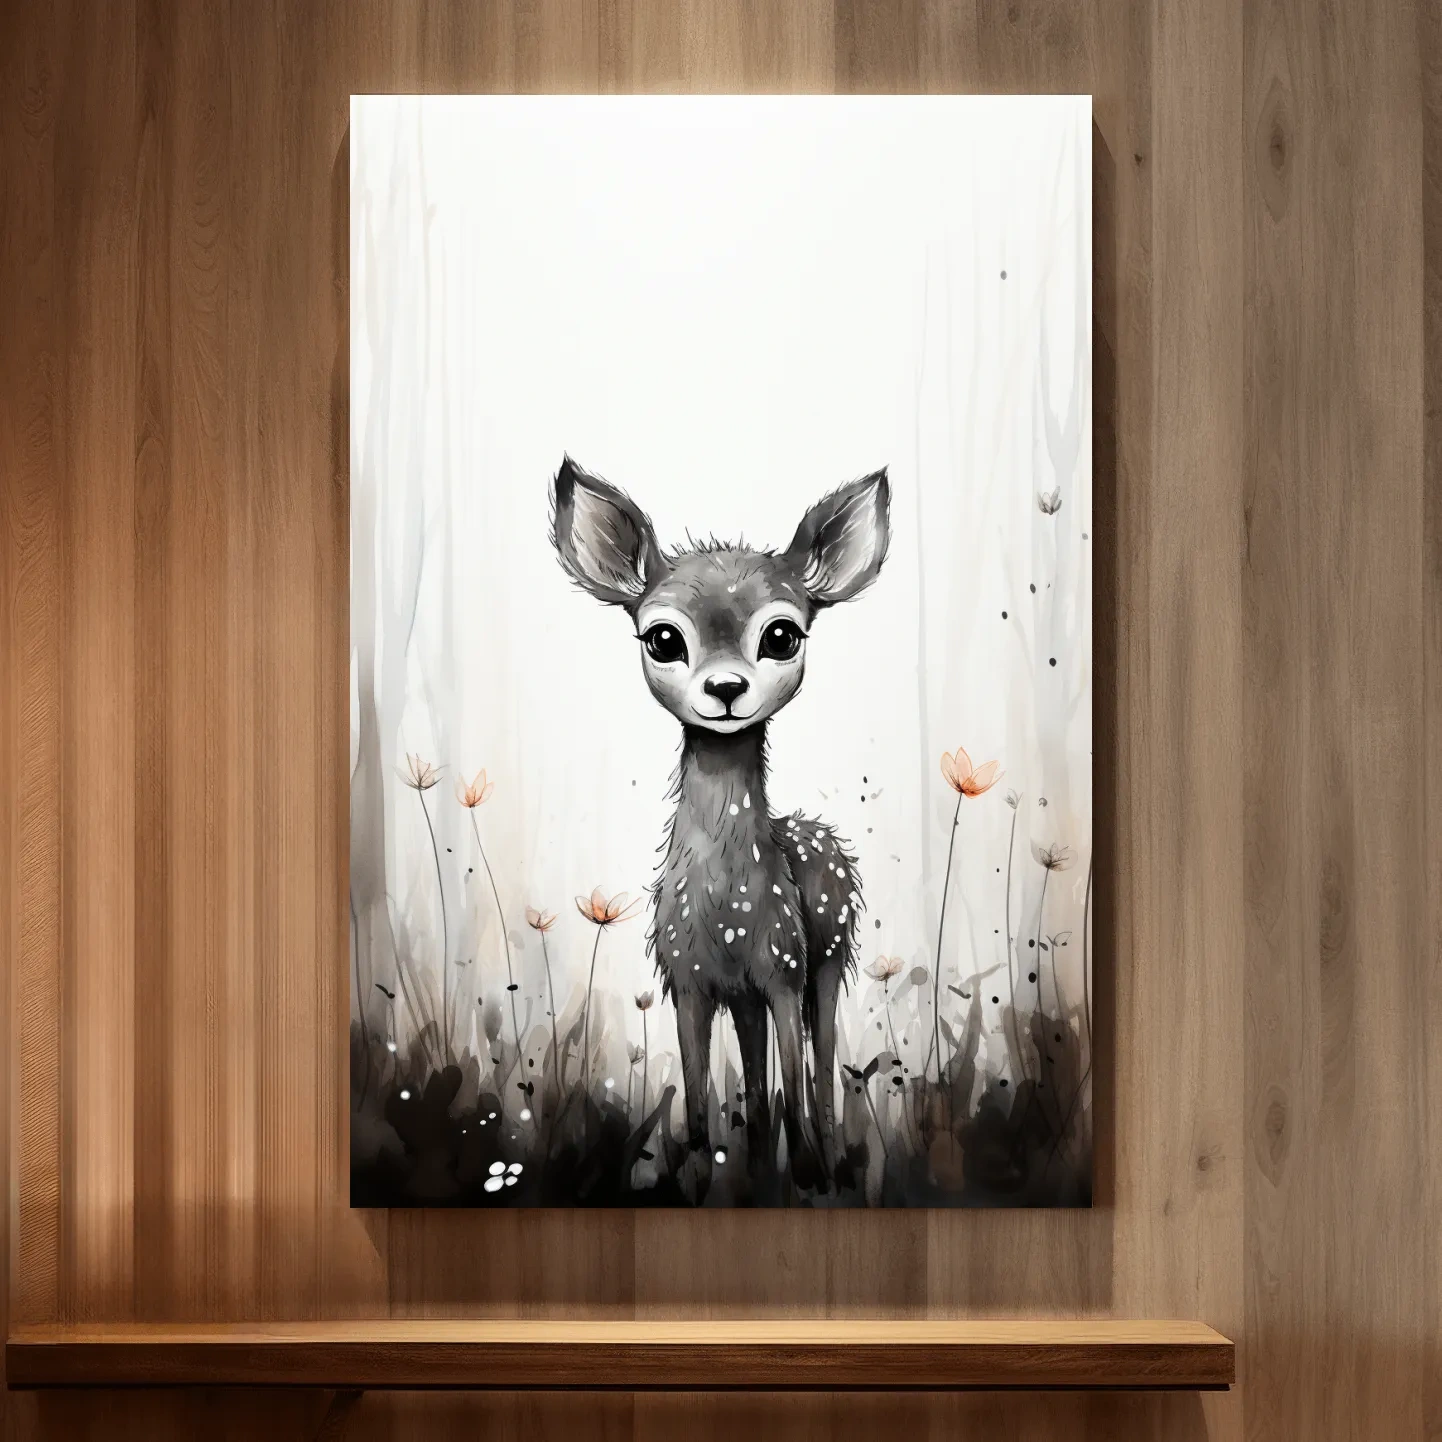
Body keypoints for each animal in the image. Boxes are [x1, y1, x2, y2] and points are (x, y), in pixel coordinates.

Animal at [549, 455, 891, 1200]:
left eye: (782, 634)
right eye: (663, 637)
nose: (727, 689)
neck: (728, 908)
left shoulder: (785, 968)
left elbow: (796, 1084)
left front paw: (809, 1175)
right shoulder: (690, 980)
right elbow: (703, 1107)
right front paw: (703, 1178)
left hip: (828, 957)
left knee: (819, 1075)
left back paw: (823, 1165)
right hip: (748, 996)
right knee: (758, 1086)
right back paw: (760, 1171)